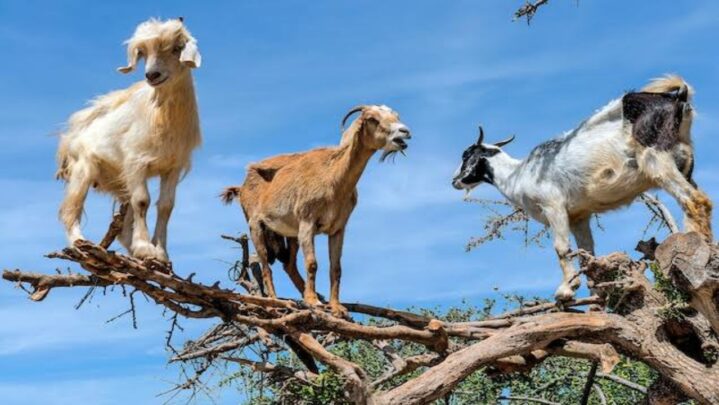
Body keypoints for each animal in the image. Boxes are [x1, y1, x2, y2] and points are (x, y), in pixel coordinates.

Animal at [56, 18, 202, 261]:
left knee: (123, 228)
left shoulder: (172, 167)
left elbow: (166, 206)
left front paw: (160, 254)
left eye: (177, 48)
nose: (152, 75)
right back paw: (79, 243)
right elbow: (143, 201)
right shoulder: (136, 162)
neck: (160, 115)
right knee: (70, 210)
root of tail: (70, 137)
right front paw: (145, 247)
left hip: (120, 180)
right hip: (83, 170)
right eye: (142, 53)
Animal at [221, 105, 411, 316]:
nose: (404, 132)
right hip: (256, 227)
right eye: (372, 119)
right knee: (264, 265)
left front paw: (335, 306)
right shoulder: (307, 222)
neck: (333, 177)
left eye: (395, 115)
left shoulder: (338, 228)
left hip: (290, 234)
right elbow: (312, 263)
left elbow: (336, 268)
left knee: (288, 265)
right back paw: (275, 301)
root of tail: (242, 186)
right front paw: (313, 301)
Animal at [452, 75, 712, 301]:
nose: (455, 180)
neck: (519, 173)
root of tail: (678, 97)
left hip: (656, 157)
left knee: (695, 200)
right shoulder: (579, 216)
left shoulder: (553, 205)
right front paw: (596, 297)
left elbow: (561, 248)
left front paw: (566, 290)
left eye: (466, 155)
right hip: (684, 160)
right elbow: (587, 255)